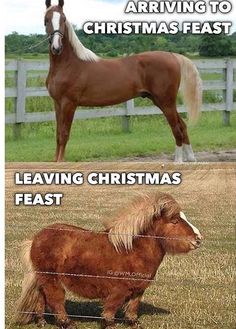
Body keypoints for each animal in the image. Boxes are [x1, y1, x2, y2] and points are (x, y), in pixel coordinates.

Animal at [15, 191, 202, 326]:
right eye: (175, 221)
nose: (198, 239)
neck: (132, 249)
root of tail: (36, 238)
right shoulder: (118, 290)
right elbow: (110, 312)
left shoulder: (138, 290)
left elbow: (133, 310)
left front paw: (133, 323)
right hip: (51, 279)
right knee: (55, 300)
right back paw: (66, 322)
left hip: (42, 279)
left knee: (41, 298)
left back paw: (41, 322)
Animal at [44, 0, 203, 162]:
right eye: (46, 19)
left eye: (63, 19)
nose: (57, 47)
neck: (70, 64)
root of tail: (173, 56)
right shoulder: (58, 103)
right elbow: (58, 135)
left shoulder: (69, 104)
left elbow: (64, 134)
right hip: (160, 100)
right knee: (182, 125)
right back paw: (191, 158)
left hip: (166, 102)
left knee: (177, 129)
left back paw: (179, 160)